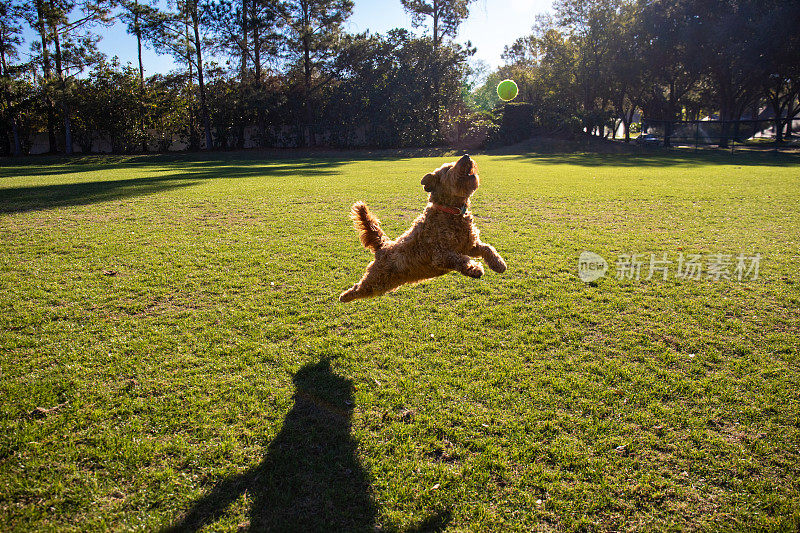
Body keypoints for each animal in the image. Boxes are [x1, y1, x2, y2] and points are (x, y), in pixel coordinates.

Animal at [338, 156, 506, 302]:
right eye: (448, 169)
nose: (466, 156)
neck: (450, 212)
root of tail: (384, 245)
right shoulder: (440, 255)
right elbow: (460, 259)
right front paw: (474, 268)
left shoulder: (468, 246)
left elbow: (487, 248)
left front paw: (498, 264)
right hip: (376, 280)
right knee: (360, 287)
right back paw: (345, 296)